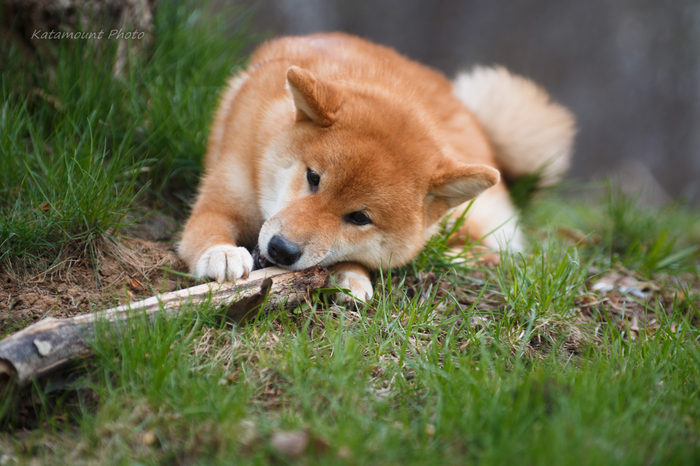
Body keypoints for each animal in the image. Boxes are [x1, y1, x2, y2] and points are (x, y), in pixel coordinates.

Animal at [176, 33, 576, 302]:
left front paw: (351, 273)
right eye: (313, 178)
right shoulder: (223, 197)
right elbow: (208, 227)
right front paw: (222, 253)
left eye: (359, 218)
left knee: (498, 248)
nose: (281, 250)